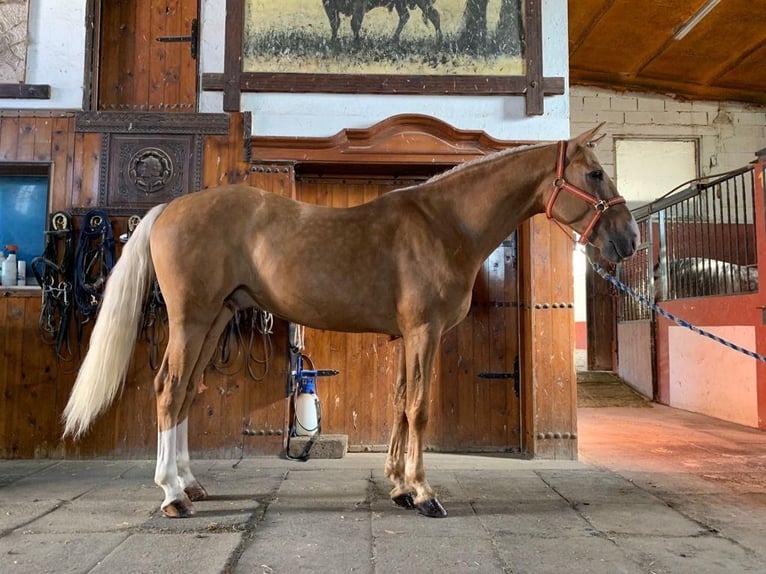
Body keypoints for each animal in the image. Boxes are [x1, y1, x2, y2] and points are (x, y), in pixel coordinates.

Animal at [63, 124, 638, 519]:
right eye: (594, 173)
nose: (628, 239)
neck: (445, 223)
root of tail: (168, 209)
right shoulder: (424, 333)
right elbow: (419, 409)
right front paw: (424, 494)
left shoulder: (410, 337)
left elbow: (401, 403)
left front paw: (399, 487)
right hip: (191, 321)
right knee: (168, 389)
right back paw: (172, 495)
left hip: (215, 322)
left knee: (186, 393)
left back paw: (190, 484)